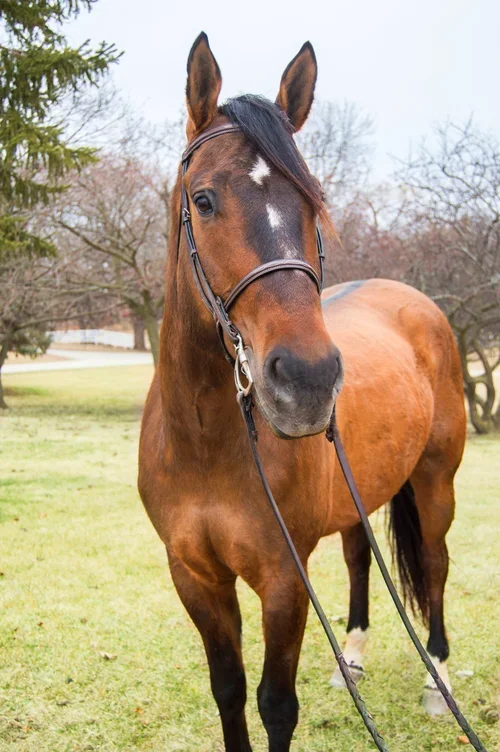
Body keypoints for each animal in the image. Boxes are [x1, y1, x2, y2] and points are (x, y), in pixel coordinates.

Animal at [138, 32, 466, 752]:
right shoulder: (194, 575)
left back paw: (439, 679)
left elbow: (274, 705)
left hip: (435, 482)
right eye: (203, 199)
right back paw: (354, 659)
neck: (207, 441)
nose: (309, 380)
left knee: (434, 564)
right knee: (359, 558)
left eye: (313, 203)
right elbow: (229, 693)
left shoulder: (284, 578)